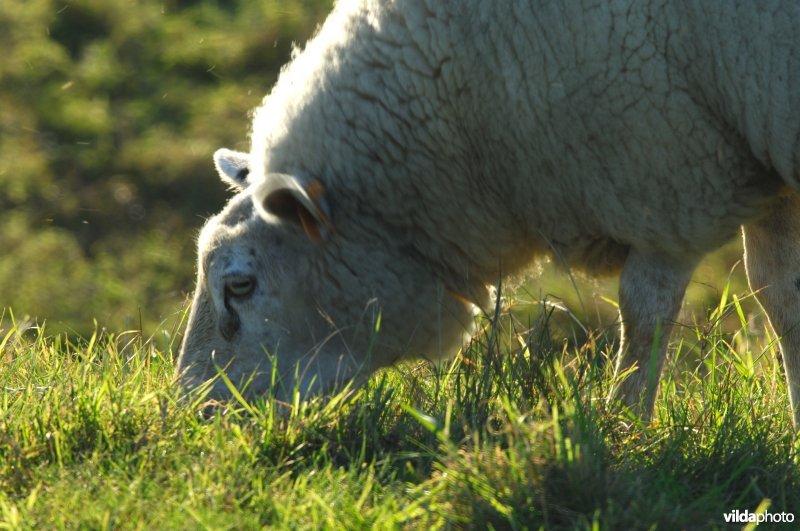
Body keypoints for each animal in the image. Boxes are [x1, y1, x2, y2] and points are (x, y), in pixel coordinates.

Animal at [178, 0, 800, 428]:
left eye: (240, 285)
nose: (193, 412)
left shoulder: (664, 177)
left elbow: (645, 314)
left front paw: (624, 426)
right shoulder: (753, 161)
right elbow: (782, 298)